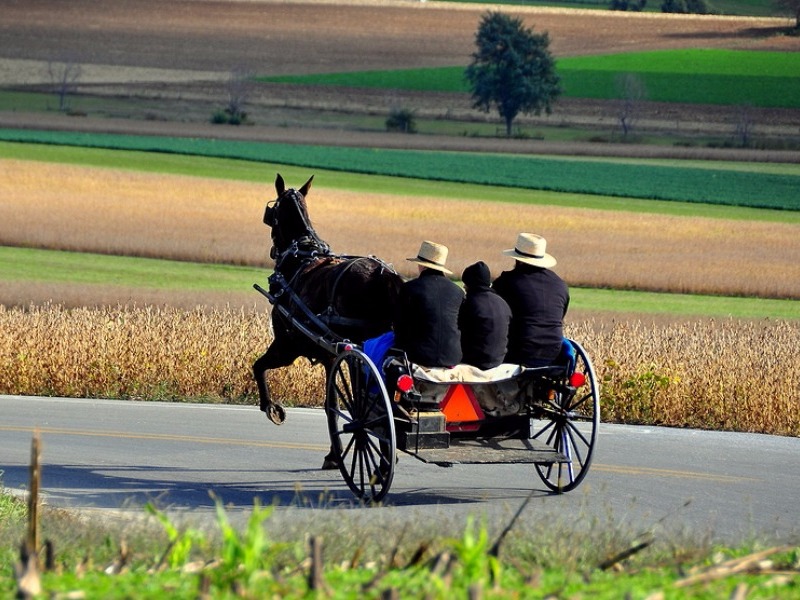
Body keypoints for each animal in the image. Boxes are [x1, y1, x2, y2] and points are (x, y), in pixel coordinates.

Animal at [253, 173, 404, 454]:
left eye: (272, 211)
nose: (274, 250)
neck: (301, 256)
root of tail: (383, 276)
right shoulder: (328, 355)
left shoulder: (289, 345)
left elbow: (260, 366)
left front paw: (271, 408)